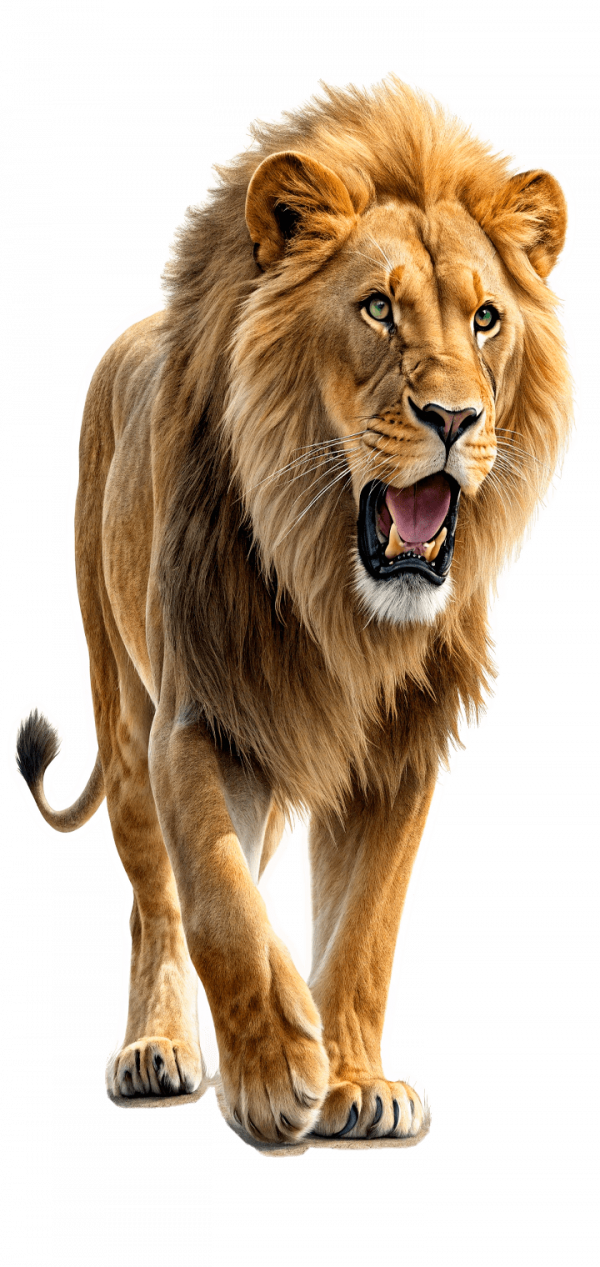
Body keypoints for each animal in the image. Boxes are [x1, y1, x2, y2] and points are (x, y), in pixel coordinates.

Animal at [13, 72, 577, 1143]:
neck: (339, 603)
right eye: (378, 309)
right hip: (120, 701)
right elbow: (221, 900)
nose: (455, 418)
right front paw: (278, 1066)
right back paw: (159, 1049)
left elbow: (365, 929)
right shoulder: (202, 716)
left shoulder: (403, 747)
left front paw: (356, 1082)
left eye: (486, 319)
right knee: (155, 897)